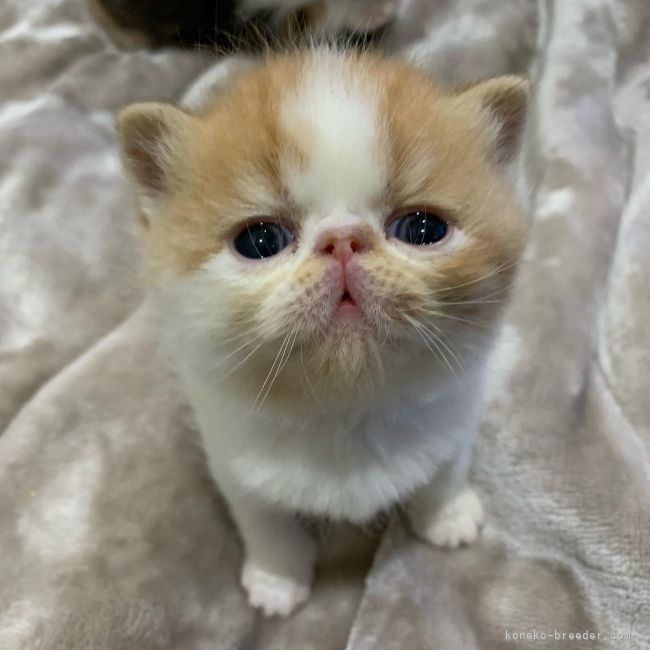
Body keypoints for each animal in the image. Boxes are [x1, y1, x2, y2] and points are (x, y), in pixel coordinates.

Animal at [117, 48, 528, 616]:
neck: (345, 411)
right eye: (260, 240)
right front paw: (276, 580)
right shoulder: (231, 457)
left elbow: (443, 470)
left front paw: (447, 516)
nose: (342, 240)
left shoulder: (457, 414)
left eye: (423, 229)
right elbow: (266, 521)